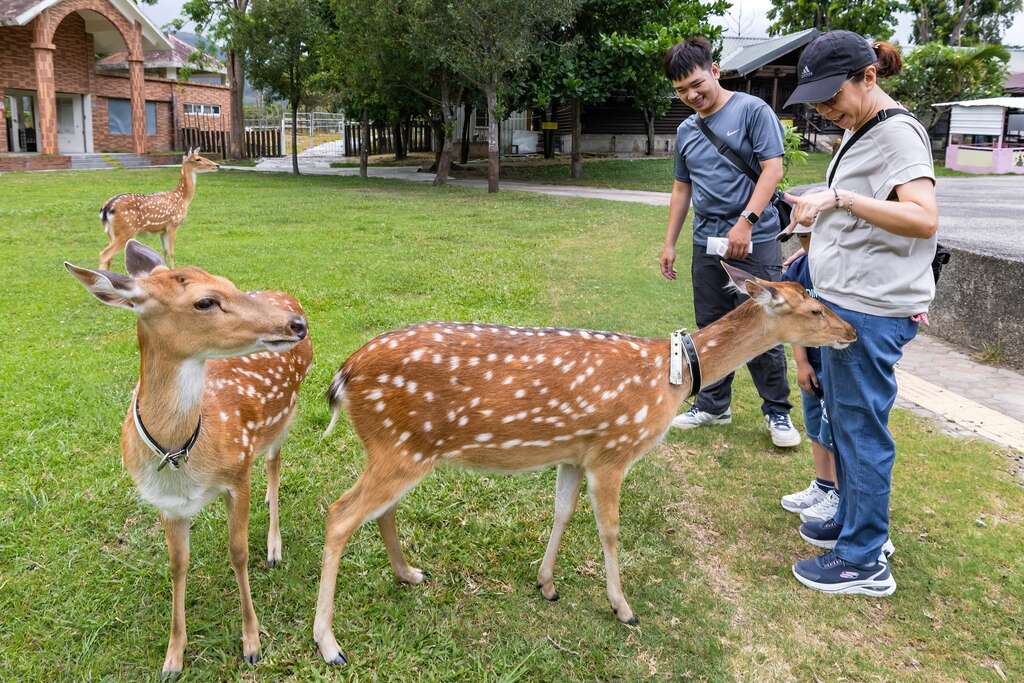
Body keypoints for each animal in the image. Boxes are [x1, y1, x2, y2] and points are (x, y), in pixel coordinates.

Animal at [65, 240, 312, 677]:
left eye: (230, 283)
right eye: (206, 301)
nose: (297, 324)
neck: (179, 454)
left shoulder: (237, 474)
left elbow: (238, 552)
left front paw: (252, 642)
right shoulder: (166, 504)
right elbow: (177, 564)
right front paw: (173, 656)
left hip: (285, 416)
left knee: (274, 465)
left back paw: (274, 546)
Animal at [311, 262, 857, 666]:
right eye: (814, 307)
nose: (851, 331)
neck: (672, 378)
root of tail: (343, 376)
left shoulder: (576, 452)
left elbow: (562, 512)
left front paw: (546, 584)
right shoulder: (614, 448)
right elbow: (609, 530)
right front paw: (623, 608)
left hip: (402, 449)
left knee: (378, 511)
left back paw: (409, 574)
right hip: (398, 445)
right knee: (339, 514)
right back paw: (330, 644)